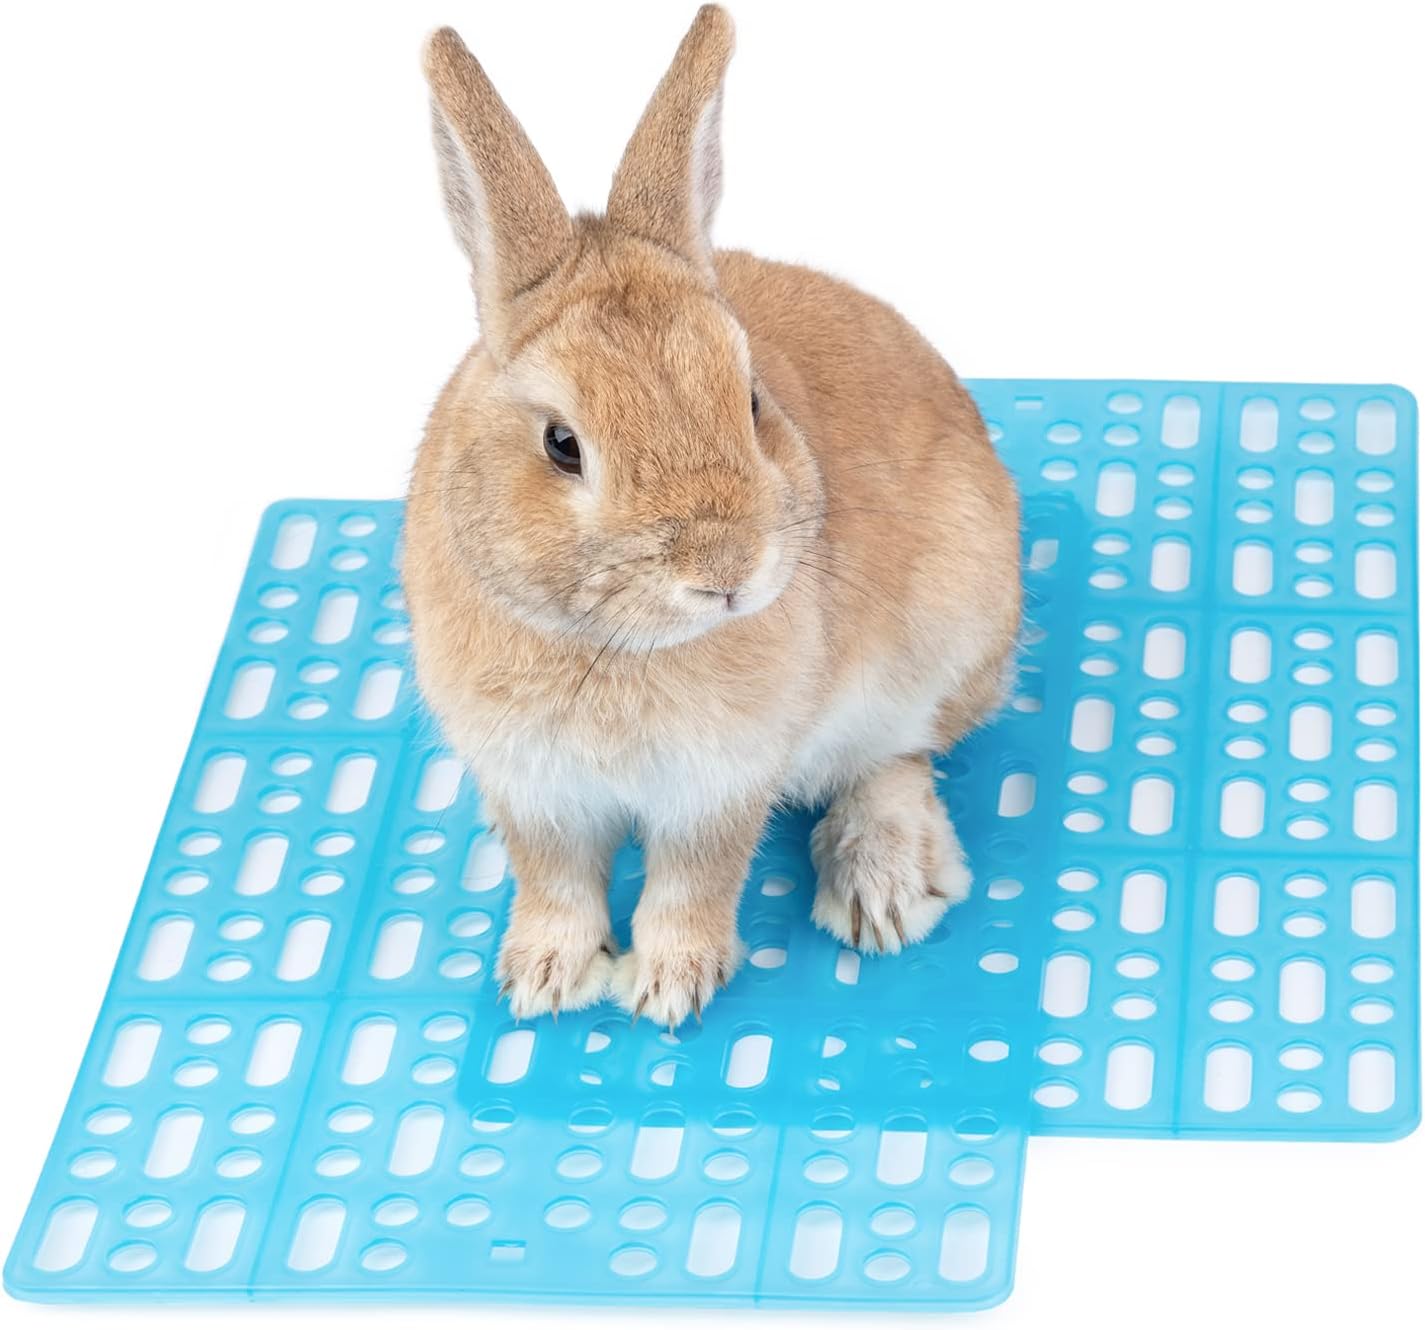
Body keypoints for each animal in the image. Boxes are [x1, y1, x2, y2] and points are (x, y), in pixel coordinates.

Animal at [403, 5, 1022, 1029]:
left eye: (751, 399)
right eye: (562, 444)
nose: (726, 572)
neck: (612, 648)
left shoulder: (720, 788)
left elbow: (695, 884)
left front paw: (668, 989)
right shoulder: (531, 789)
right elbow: (553, 882)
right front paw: (542, 980)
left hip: (945, 637)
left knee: (898, 756)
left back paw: (883, 888)